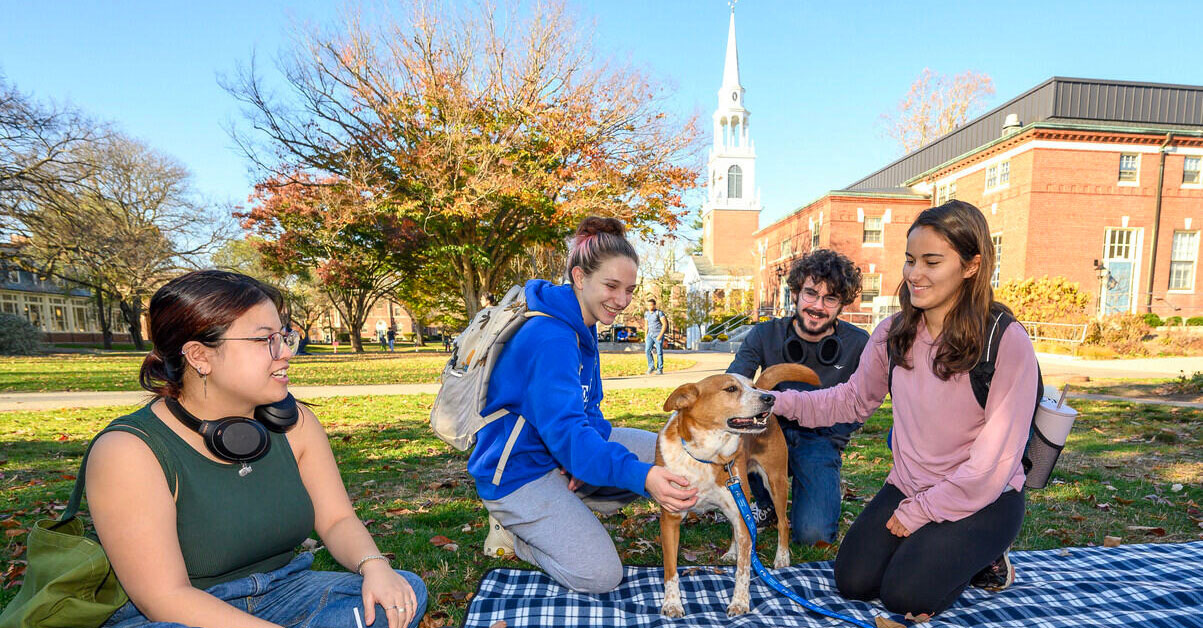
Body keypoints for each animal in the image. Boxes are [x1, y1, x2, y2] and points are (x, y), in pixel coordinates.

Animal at [654, 360, 822, 615]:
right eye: (731, 389)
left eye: (751, 386)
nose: (770, 398)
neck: (706, 456)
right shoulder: (670, 518)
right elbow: (670, 570)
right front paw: (672, 603)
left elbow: (743, 570)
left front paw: (740, 602)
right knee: (737, 529)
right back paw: (733, 550)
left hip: (774, 481)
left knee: (783, 523)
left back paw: (782, 557)